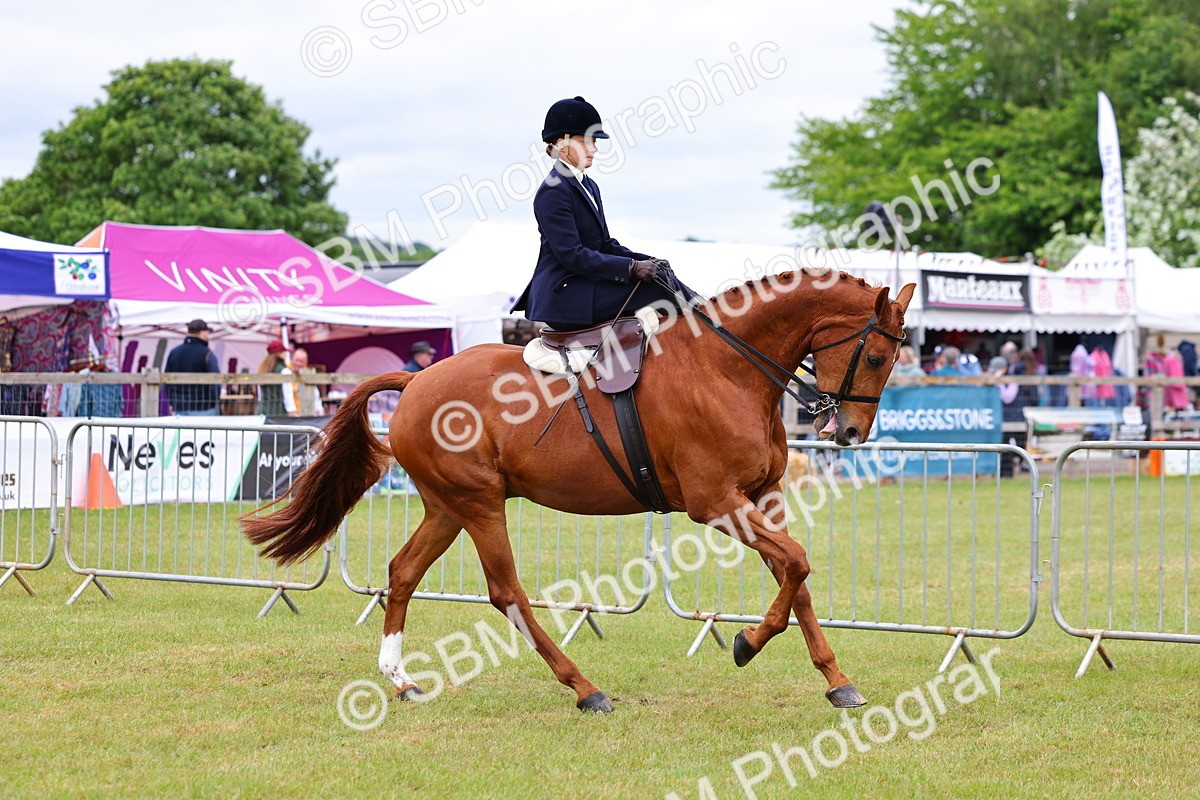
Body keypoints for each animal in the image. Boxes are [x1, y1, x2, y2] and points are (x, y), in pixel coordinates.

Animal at [243, 270, 916, 713]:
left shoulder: (765, 494)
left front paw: (836, 681)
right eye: (876, 357)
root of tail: (415, 381)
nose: (850, 433)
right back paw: (585, 688)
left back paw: (400, 679)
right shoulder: (716, 504)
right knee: (506, 592)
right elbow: (796, 563)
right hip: (479, 505)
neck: (727, 368)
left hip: (446, 506)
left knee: (404, 571)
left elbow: (795, 577)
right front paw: (747, 643)